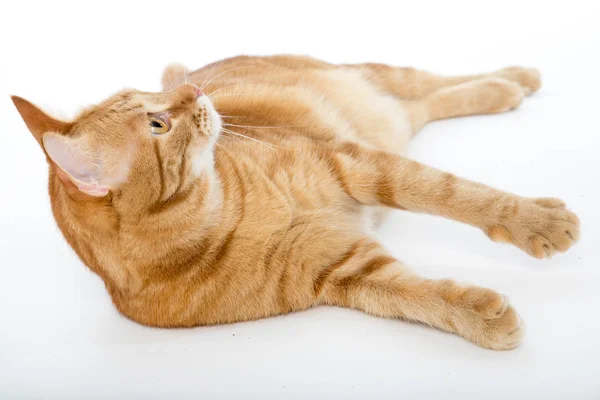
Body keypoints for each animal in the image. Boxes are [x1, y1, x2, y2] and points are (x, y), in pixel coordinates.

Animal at [11, 54, 580, 348]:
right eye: (157, 123)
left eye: (153, 101)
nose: (195, 89)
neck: (224, 218)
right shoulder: (348, 271)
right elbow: (418, 298)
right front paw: (481, 317)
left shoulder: (354, 163)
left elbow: (451, 192)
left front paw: (538, 220)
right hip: (392, 118)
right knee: (423, 102)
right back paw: (506, 89)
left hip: (368, 78)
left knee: (430, 81)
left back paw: (514, 79)